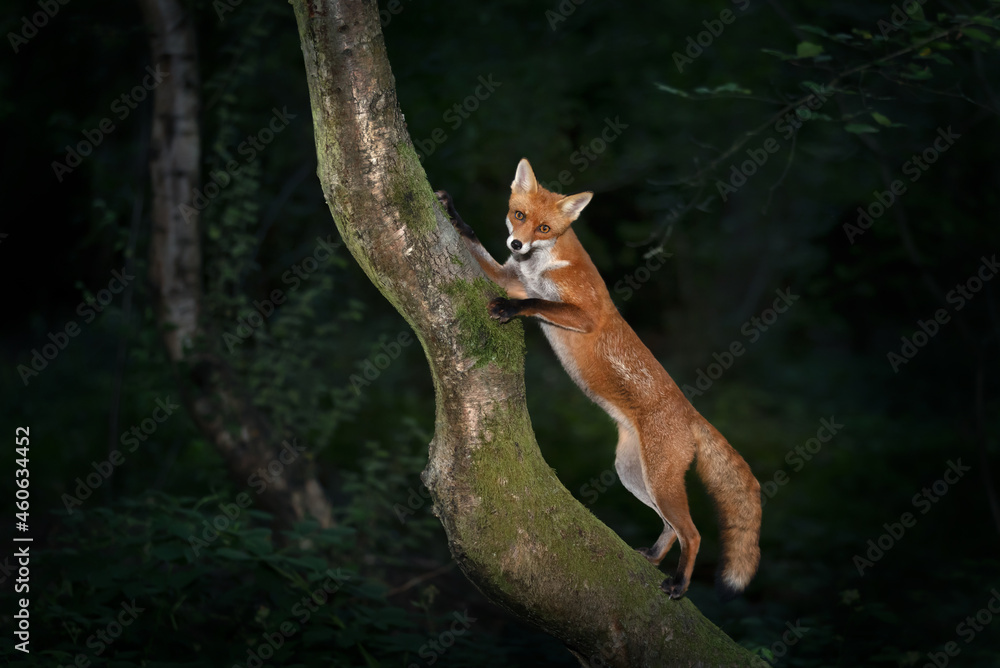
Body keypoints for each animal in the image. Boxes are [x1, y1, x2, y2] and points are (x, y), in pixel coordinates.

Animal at [435, 158, 762, 599]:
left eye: (544, 228)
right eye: (519, 216)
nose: (517, 245)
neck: (541, 265)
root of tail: (691, 412)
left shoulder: (584, 312)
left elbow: (537, 303)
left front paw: (509, 310)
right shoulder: (510, 277)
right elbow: (476, 244)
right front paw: (453, 212)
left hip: (660, 481)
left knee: (693, 533)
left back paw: (679, 583)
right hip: (633, 475)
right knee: (671, 528)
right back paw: (654, 557)